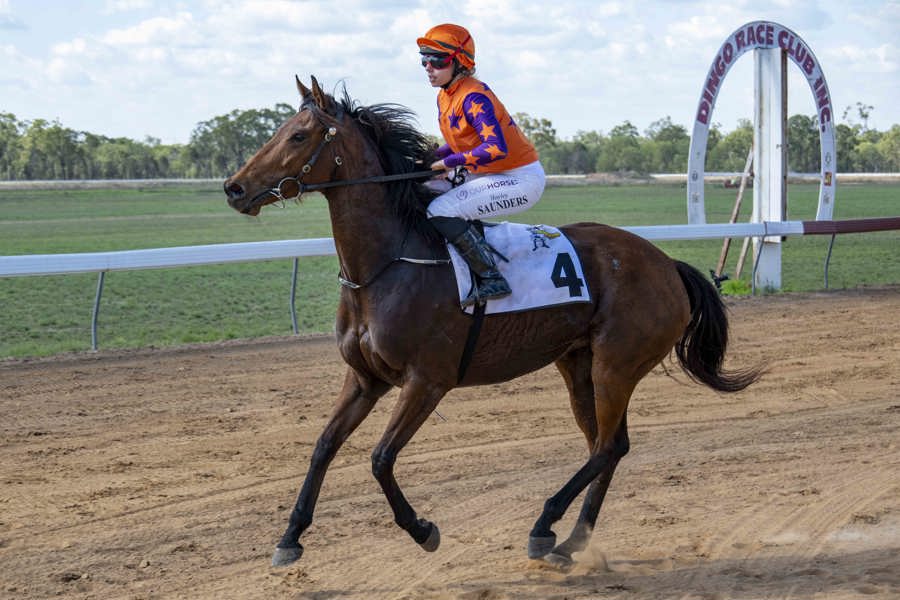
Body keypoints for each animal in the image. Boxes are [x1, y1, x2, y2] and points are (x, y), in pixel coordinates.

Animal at [224, 76, 761, 568]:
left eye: (298, 136)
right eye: (278, 130)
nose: (234, 188)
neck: (388, 264)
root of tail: (667, 263)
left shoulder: (427, 381)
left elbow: (380, 458)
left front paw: (423, 530)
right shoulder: (365, 378)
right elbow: (323, 445)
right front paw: (289, 537)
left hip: (617, 365)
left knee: (608, 447)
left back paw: (545, 526)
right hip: (578, 365)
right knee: (606, 447)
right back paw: (572, 541)